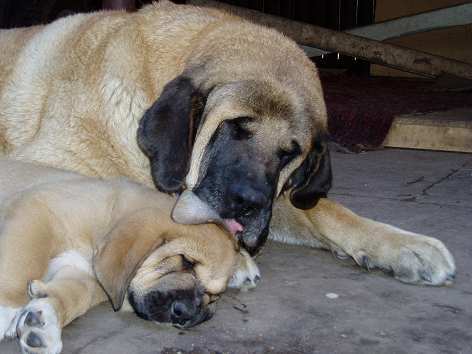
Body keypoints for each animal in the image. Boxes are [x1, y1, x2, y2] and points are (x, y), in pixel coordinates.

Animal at [0, 0, 454, 284]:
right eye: (235, 127)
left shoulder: (274, 202)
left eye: (290, 153)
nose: (248, 202)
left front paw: (404, 246)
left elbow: (324, 211)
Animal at [0, 160, 258, 354]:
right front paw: (6, 310)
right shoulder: (38, 211)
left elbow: (75, 295)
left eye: (213, 296)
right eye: (186, 261)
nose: (186, 314)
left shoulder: (81, 271)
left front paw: (44, 323)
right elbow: (21, 263)